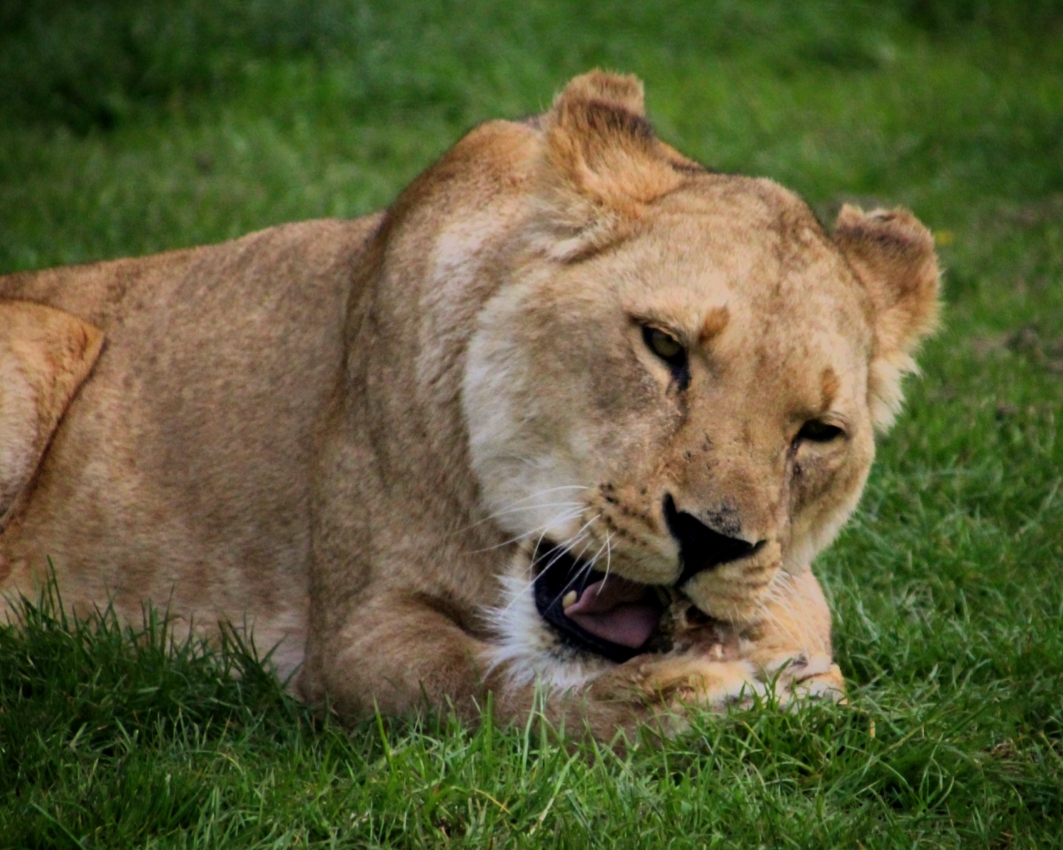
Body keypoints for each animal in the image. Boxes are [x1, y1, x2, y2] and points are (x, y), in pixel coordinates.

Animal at [0, 72, 939, 740]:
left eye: (817, 434)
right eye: (663, 346)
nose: (711, 540)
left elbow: (799, 613)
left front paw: (779, 666)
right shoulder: (352, 636)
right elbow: (490, 689)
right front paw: (687, 699)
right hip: (45, 338)